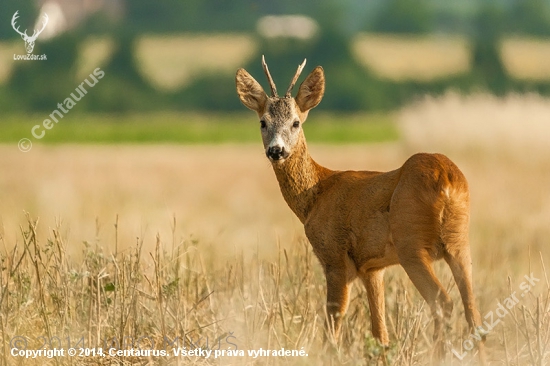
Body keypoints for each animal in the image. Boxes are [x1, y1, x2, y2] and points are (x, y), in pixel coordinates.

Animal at [236, 57, 488, 364]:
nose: (276, 150)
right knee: (473, 310)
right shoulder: (372, 267)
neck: (316, 194)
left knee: (443, 302)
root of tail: (447, 178)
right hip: (459, 242)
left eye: (296, 122)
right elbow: (380, 333)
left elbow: (333, 323)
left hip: (411, 244)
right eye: (263, 122)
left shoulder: (334, 256)